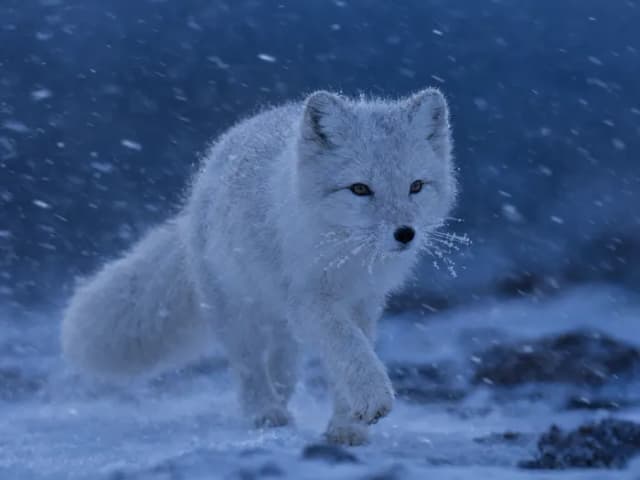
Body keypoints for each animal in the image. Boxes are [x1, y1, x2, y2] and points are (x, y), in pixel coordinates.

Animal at [61, 88, 457, 445]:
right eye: (360, 189)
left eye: (416, 186)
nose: (405, 234)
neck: (348, 257)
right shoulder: (310, 299)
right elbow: (349, 348)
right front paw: (373, 398)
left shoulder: (364, 302)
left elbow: (348, 356)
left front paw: (348, 427)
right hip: (234, 311)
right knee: (248, 367)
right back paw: (265, 412)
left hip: (279, 319)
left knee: (283, 364)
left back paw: (281, 401)